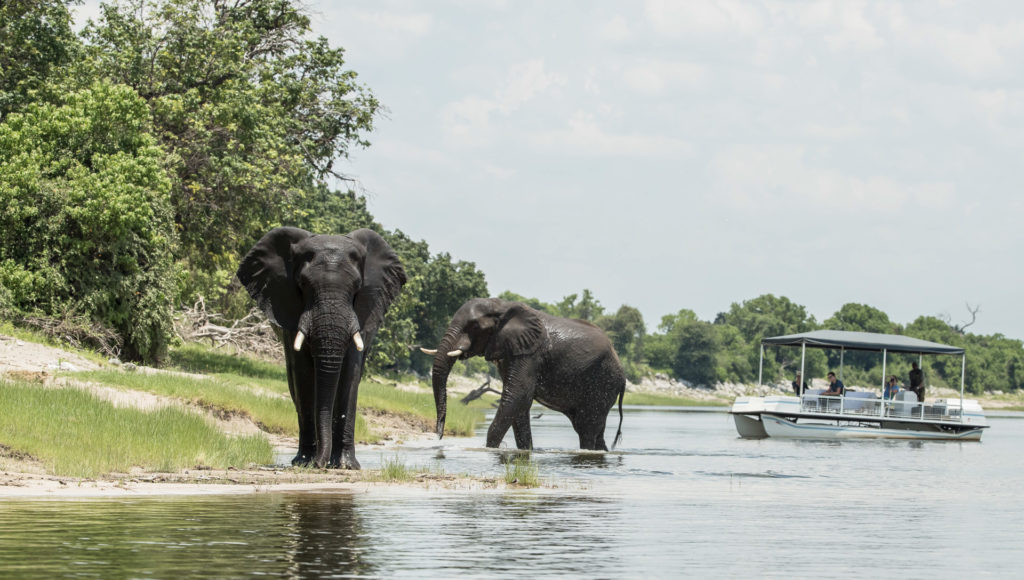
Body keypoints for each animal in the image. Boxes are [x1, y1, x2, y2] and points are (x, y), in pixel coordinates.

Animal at [237, 227, 406, 469]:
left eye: (357, 287)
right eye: (303, 285)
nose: (319, 464)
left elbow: (350, 373)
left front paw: (345, 466)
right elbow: (304, 374)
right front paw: (305, 462)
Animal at [424, 298, 625, 451]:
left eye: (473, 326)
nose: (439, 434)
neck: (501, 307)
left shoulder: (530, 354)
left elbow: (517, 396)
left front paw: (490, 449)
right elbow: (519, 404)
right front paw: (526, 451)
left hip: (603, 382)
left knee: (587, 429)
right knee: (592, 430)